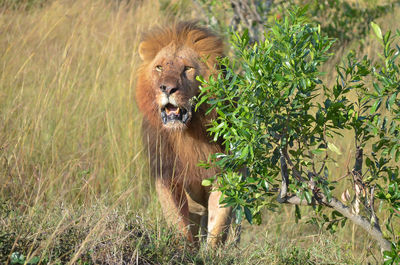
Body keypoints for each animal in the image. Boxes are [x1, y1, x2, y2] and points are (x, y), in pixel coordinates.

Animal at [136, 21, 233, 245]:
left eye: (187, 68)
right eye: (159, 67)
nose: (167, 88)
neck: (188, 133)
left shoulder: (227, 174)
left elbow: (218, 224)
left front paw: (213, 251)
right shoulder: (166, 175)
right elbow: (178, 223)